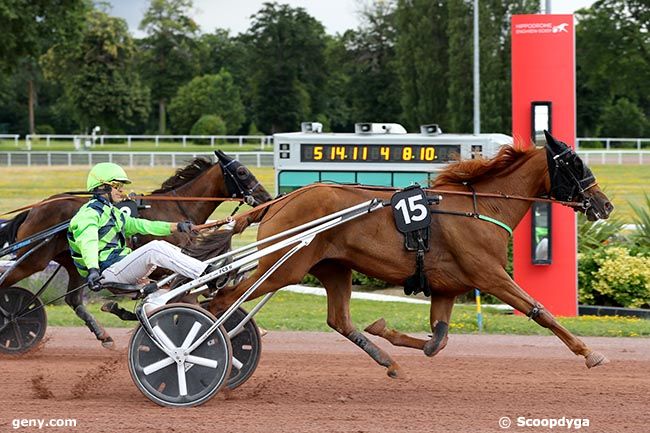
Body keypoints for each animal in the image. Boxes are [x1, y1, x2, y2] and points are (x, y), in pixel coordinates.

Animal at [0, 150, 270, 346]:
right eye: (242, 172)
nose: (266, 199)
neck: (177, 206)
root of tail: (35, 209)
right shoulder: (164, 269)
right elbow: (183, 292)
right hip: (33, 260)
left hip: (74, 263)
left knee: (74, 300)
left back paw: (103, 334)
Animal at [191, 132, 612, 378]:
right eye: (575, 163)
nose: (604, 205)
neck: (481, 208)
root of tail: (280, 201)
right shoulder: (490, 275)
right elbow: (539, 311)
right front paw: (590, 353)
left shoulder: (446, 287)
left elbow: (437, 341)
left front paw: (385, 330)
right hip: (284, 268)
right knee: (222, 299)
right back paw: (206, 349)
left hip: (333, 268)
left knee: (339, 320)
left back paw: (389, 363)